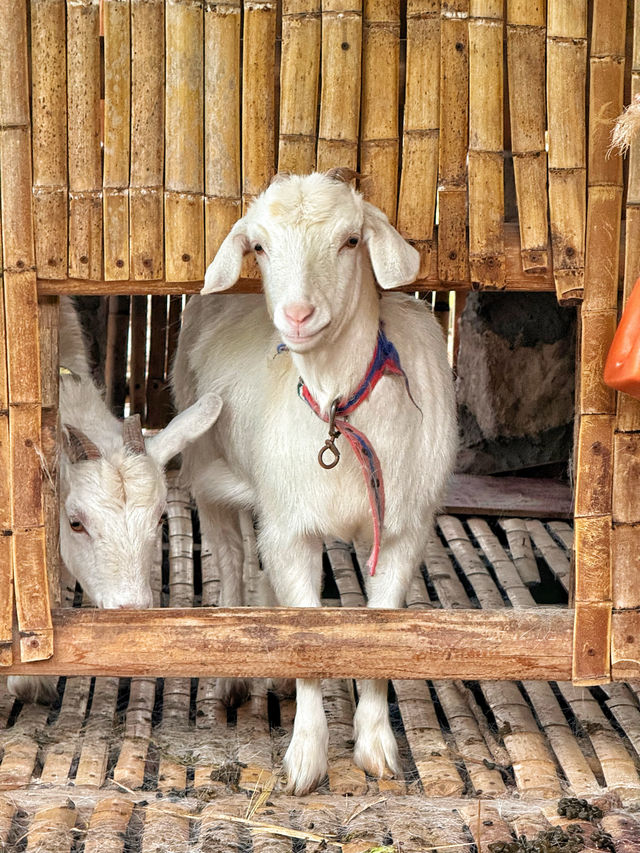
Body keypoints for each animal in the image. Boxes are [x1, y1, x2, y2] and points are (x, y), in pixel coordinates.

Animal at [172, 170, 458, 796]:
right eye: (258, 247)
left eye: (351, 241)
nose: (298, 315)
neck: (336, 408)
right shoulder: (290, 526)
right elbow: (304, 636)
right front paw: (306, 760)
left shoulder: (400, 531)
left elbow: (374, 634)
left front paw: (377, 751)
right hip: (207, 465)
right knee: (232, 556)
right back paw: (234, 678)